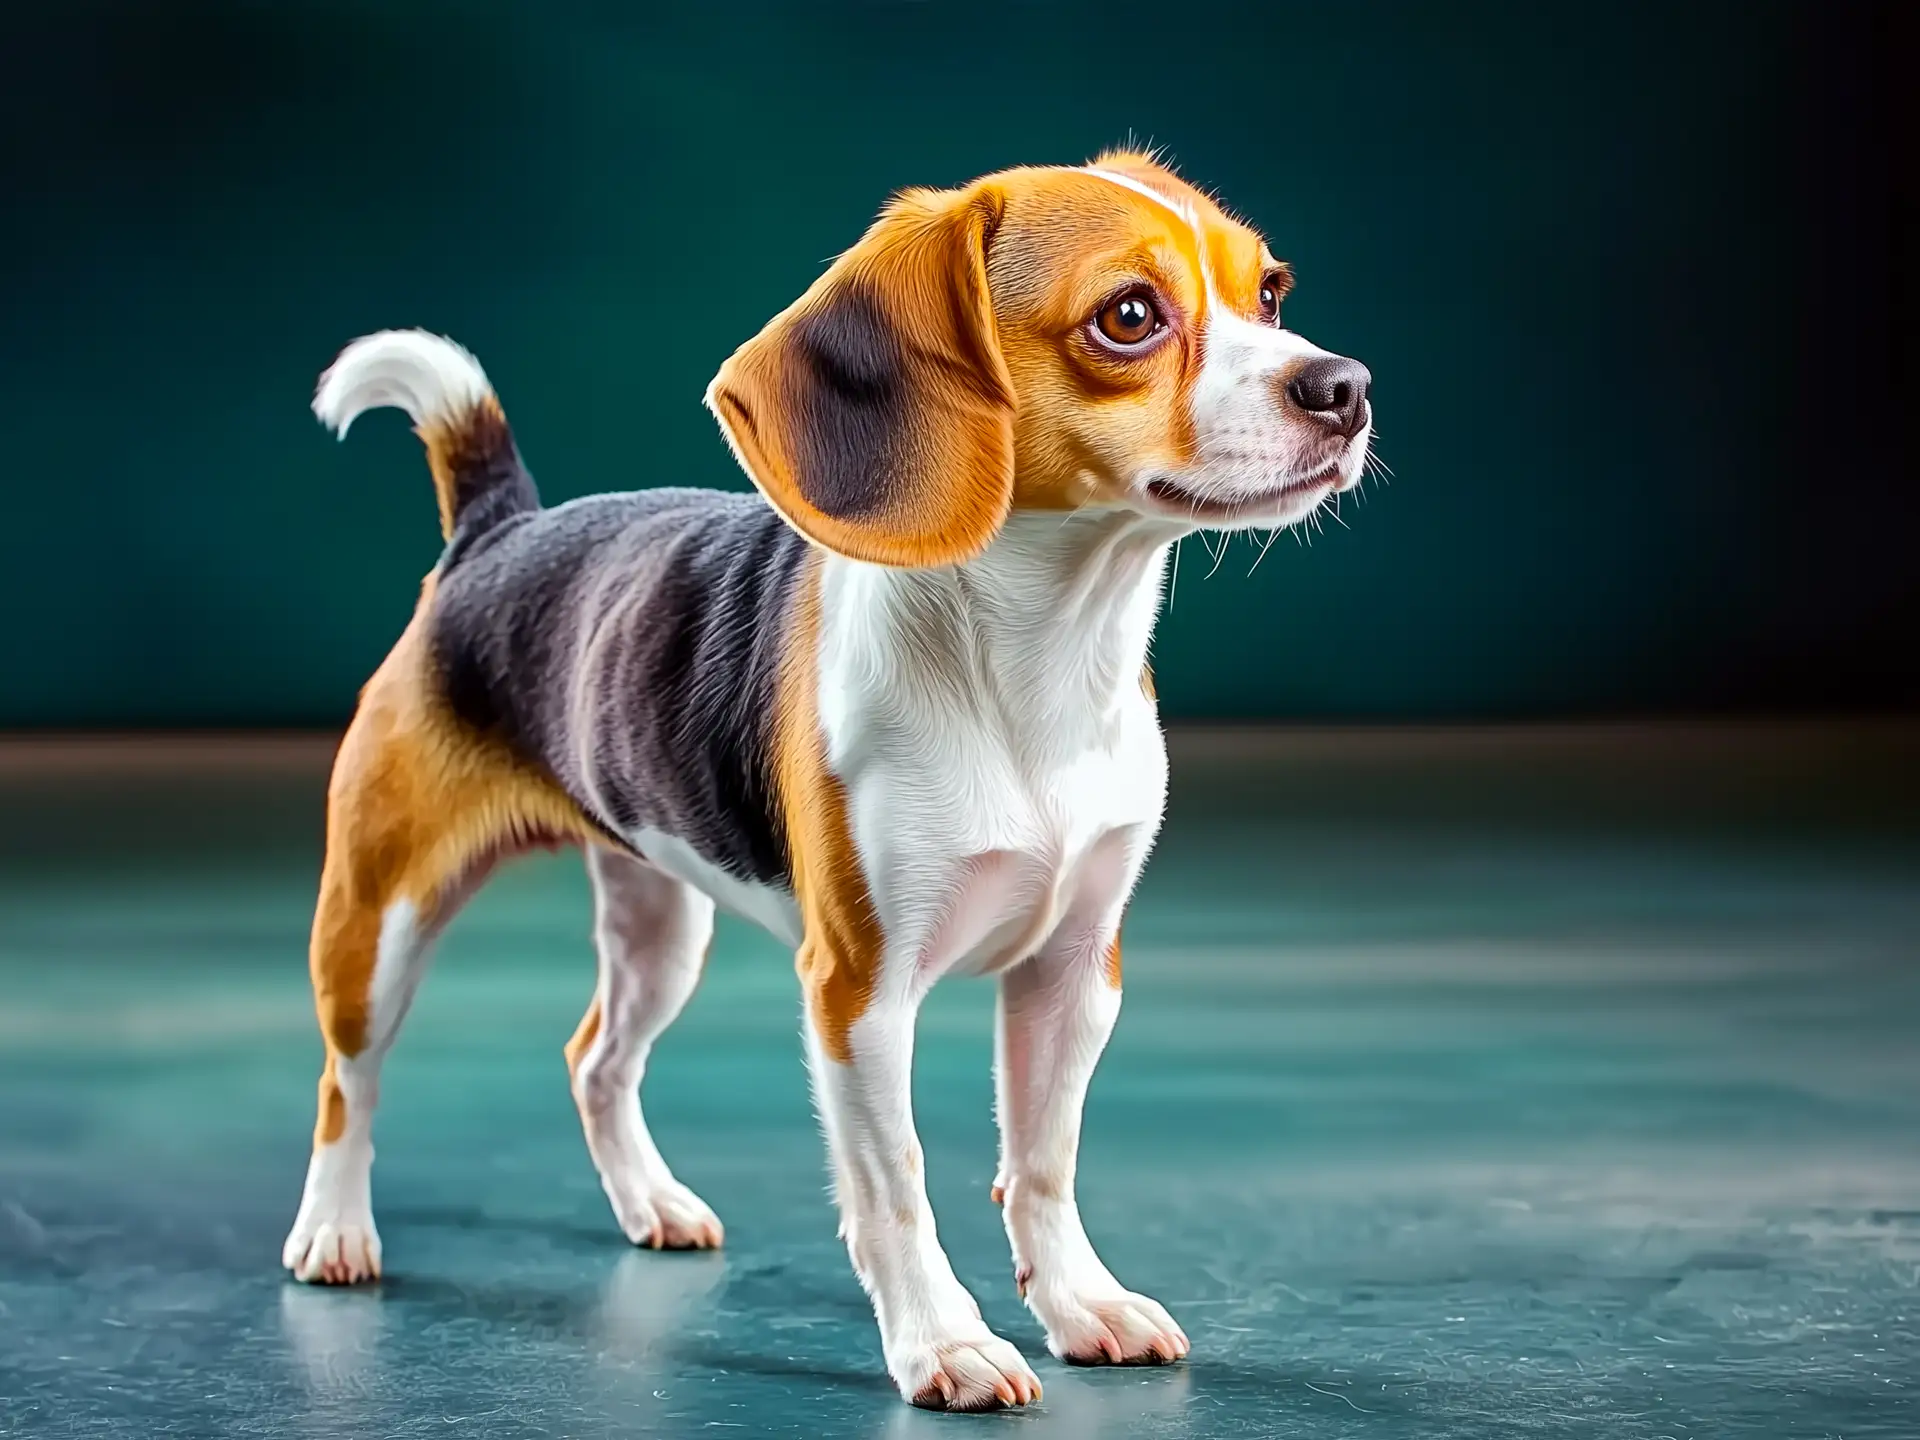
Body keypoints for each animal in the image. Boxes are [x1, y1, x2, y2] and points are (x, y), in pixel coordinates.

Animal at [280, 152, 1367, 1413]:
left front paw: (1078, 1303)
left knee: (595, 1061)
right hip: (380, 919)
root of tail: (496, 531)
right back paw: (334, 1233)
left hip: (661, 925)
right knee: (346, 1085)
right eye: (1131, 317)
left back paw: (650, 1204)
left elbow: (1042, 1161)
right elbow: (896, 1182)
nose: (1346, 386)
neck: (1037, 664)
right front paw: (944, 1344)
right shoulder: (860, 995)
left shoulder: (1073, 970)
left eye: (1272, 293)